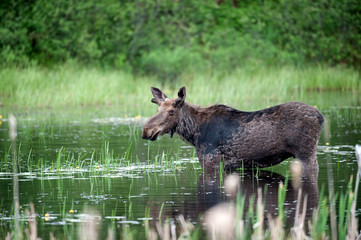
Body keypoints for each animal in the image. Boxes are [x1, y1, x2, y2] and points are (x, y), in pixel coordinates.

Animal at [141, 86, 324, 171]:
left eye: (171, 111)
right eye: (157, 110)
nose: (146, 130)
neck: (193, 134)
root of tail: (320, 116)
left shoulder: (211, 161)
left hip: (306, 154)